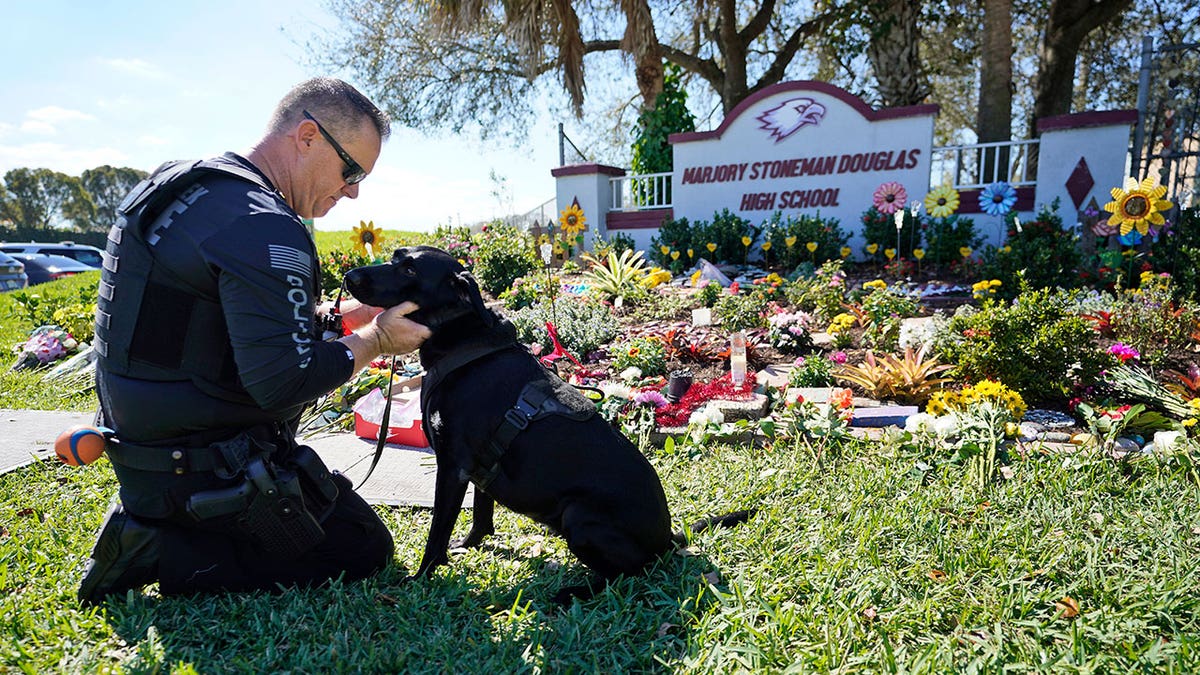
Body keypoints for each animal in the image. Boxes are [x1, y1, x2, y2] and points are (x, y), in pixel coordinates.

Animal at [343, 243, 748, 595]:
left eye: (409, 269)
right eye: (394, 257)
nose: (348, 277)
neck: (465, 344)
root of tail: (666, 539)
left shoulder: (453, 467)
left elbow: (437, 532)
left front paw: (420, 576)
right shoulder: (478, 467)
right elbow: (481, 515)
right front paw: (470, 545)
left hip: (578, 517)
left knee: (631, 574)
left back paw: (571, 592)